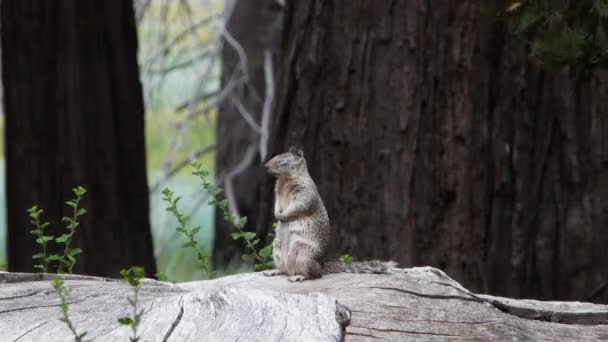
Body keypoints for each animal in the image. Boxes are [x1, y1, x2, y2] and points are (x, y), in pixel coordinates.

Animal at [262, 147, 394, 284]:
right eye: (275, 156)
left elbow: (299, 206)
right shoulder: (278, 193)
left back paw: (299, 276)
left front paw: (284, 215)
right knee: (284, 270)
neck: (284, 180)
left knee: (313, 275)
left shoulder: (305, 194)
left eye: (282, 162)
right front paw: (277, 214)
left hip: (303, 255)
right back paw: (273, 271)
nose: (265, 167)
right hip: (277, 248)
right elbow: (277, 205)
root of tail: (322, 266)